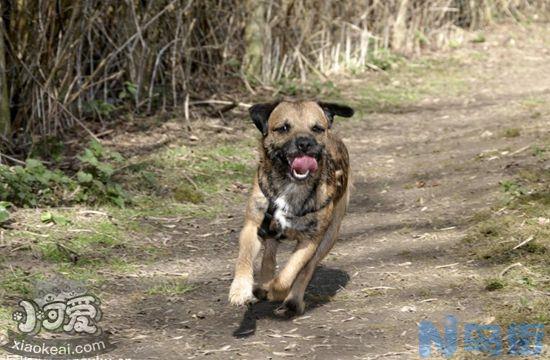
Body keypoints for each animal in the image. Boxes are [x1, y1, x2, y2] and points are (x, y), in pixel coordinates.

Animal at [229, 100, 354, 316]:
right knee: (269, 257)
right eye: (283, 128)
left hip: (329, 236)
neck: (290, 186)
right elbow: (243, 259)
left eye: (317, 128)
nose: (304, 143)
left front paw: (275, 291)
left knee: (306, 270)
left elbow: (288, 276)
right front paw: (240, 289)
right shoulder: (253, 227)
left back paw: (291, 301)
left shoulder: (310, 241)